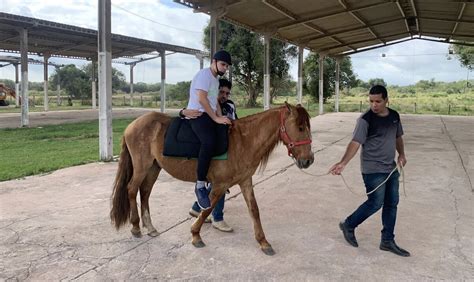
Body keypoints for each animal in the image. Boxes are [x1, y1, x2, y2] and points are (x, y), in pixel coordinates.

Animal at [111, 102, 314, 256]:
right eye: (300, 127)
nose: (309, 160)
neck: (243, 142)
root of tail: (132, 125)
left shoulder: (245, 181)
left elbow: (254, 210)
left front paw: (263, 242)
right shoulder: (220, 184)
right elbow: (207, 208)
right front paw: (195, 235)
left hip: (154, 167)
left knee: (144, 193)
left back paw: (150, 227)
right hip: (142, 167)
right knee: (131, 189)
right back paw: (136, 227)